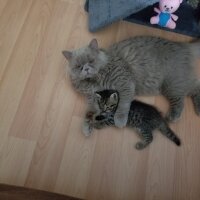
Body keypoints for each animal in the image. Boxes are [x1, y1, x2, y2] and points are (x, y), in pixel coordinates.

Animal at [63, 36, 200, 136]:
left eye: (91, 60)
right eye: (78, 66)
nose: (86, 68)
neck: (96, 80)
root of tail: (181, 45)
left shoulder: (125, 83)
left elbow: (122, 105)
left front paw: (119, 120)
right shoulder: (92, 99)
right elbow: (88, 113)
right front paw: (86, 128)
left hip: (172, 83)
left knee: (180, 99)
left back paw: (173, 116)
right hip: (179, 81)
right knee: (196, 87)